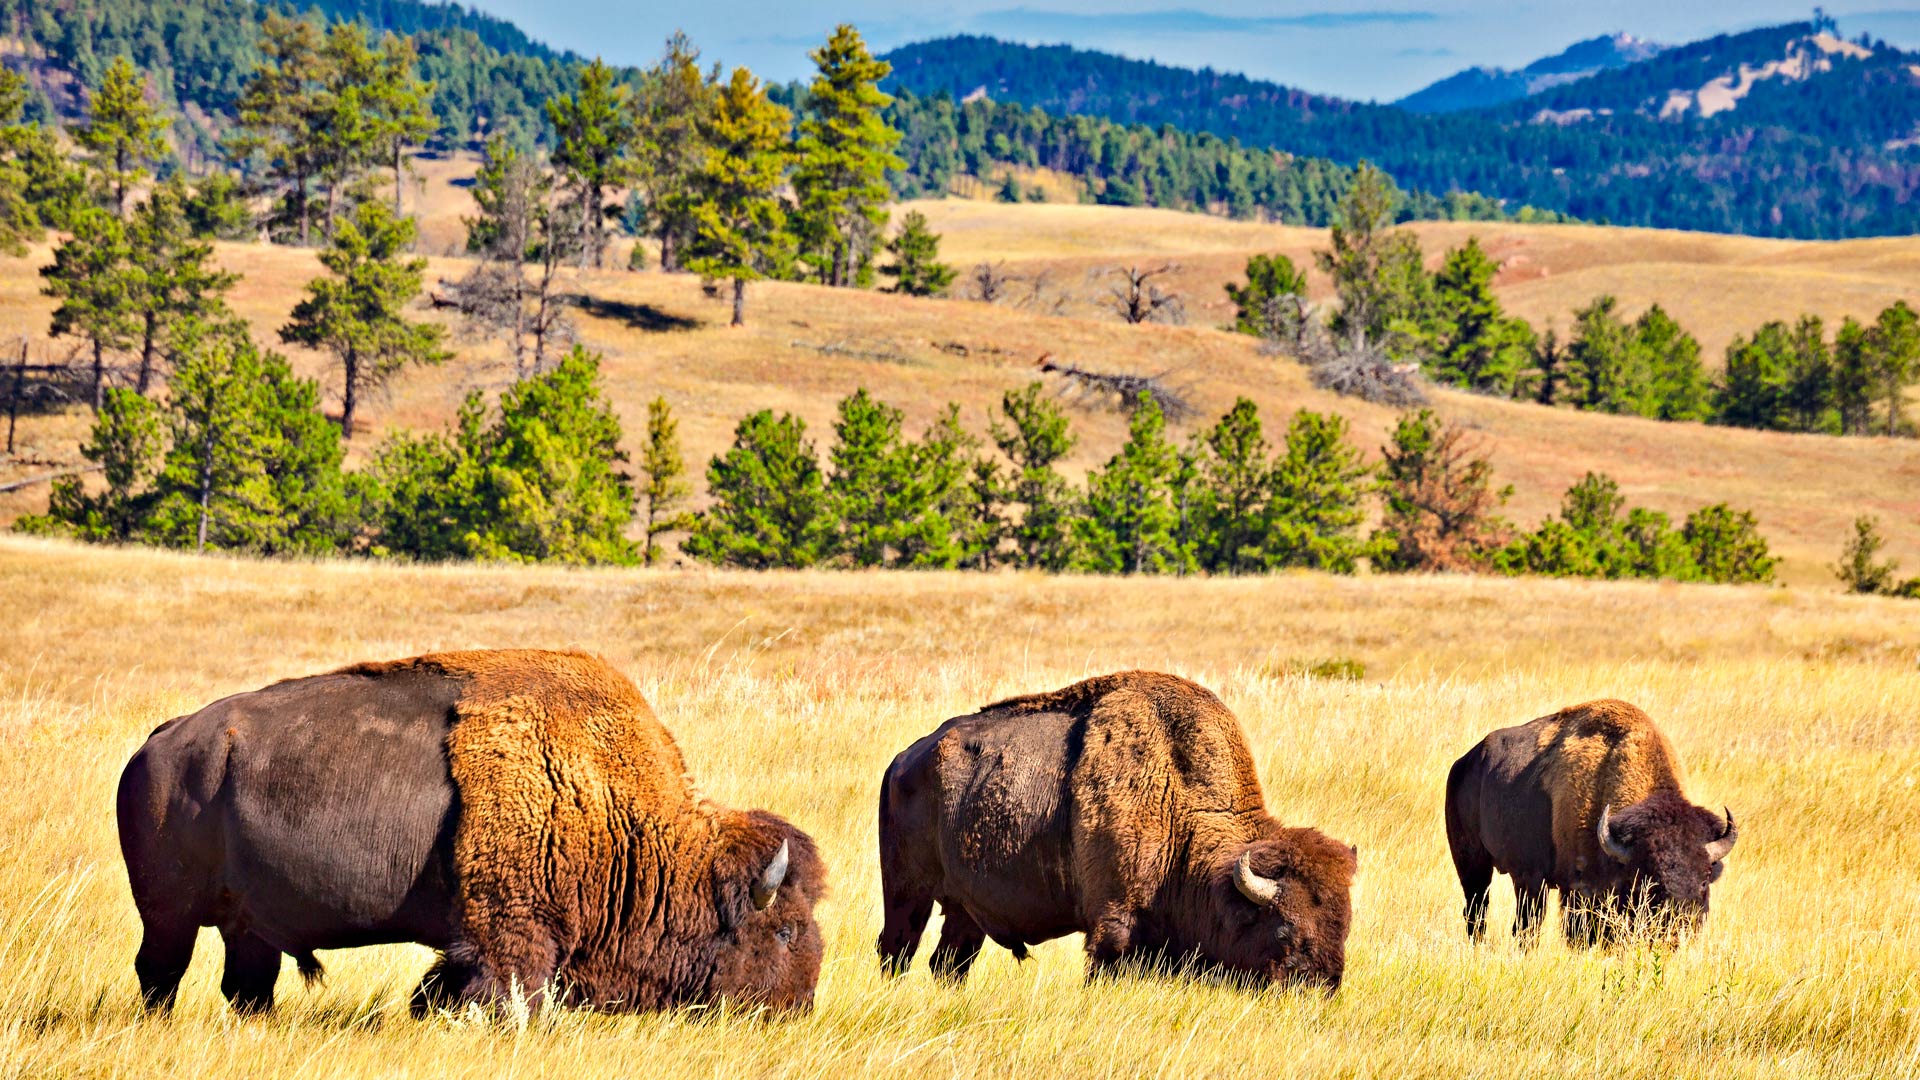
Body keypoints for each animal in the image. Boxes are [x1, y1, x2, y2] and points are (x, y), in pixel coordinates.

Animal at [118, 645, 825, 1006]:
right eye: (785, 931)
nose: (796, 1007)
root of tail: (159, 741)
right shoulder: (512, 935)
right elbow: (506, 992)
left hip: (246, 923)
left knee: (247, 983)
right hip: (169, 913)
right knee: (161, 973)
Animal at [879, 668, 1359, 991]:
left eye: (1344, 927)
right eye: (1284, 929)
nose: (1322, 989)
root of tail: (903, 759)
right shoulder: (1112, 923)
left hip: (964, 910)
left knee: (948, 962)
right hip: (906, 892)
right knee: (896, 949)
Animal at [1443, 699, 1743, 941]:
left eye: (1704, 880)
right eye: (1651, 882)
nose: (1681, 923)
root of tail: (1464, 763)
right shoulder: (1578, 891)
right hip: (1478, 865)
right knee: (1484, 913)